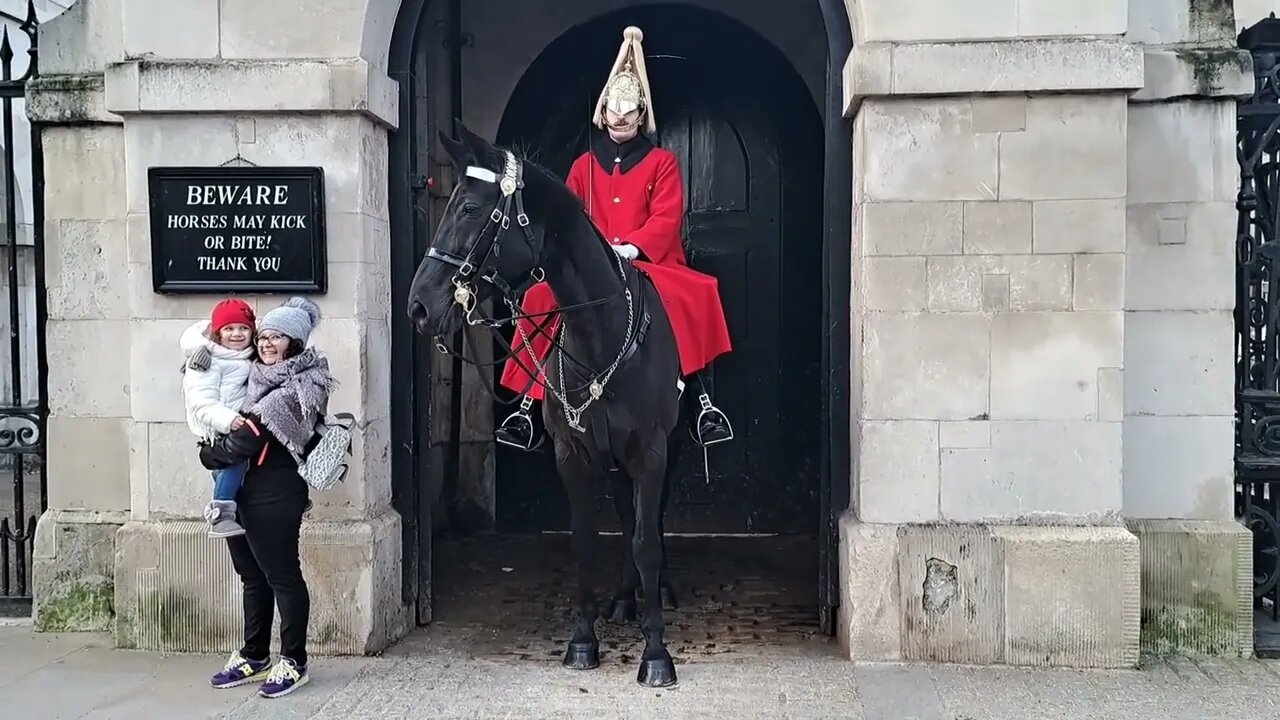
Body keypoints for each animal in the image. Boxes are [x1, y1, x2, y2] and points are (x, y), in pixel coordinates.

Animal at [409, 120, 691, 686]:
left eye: (469, 208)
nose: (419, 305)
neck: (598, 334)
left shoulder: (651, 451)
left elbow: (647, 540)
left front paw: (655, 652)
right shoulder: (572, 454)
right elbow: (586, 541)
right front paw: (583, 640)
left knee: (650, 521)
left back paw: (657, 593)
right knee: (626, 514)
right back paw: (624, 598)